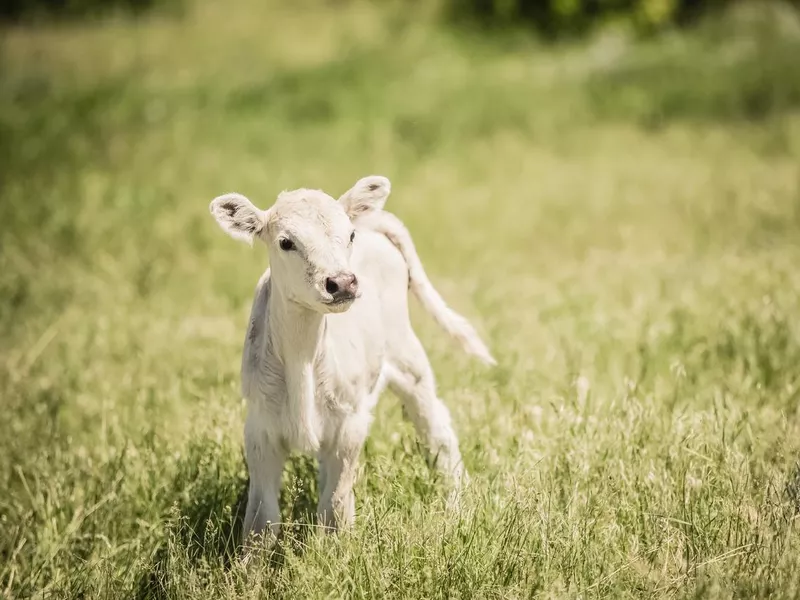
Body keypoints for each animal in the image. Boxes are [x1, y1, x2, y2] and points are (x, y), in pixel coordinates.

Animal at [208, 176, 494, 548]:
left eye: (349, 235)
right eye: (286, 242)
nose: (342, 282)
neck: (303, 358)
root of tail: (375, 225)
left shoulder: (350, 425)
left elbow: (335, 509)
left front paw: (335, 557)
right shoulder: (260, 428)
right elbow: (261, 521)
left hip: (408, 358)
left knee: (438, 430)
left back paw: (458, 503)